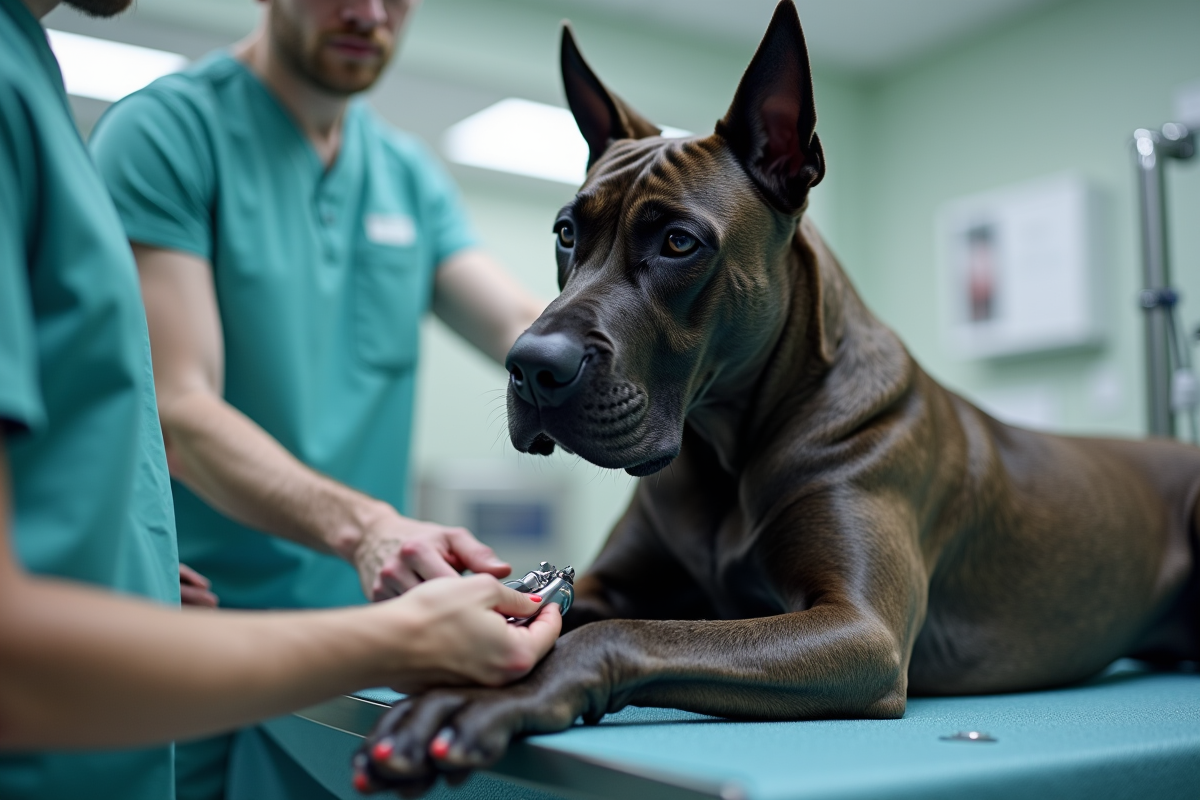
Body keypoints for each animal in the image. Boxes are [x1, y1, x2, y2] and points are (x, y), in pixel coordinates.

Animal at [355, 0, 1200, 786]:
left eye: (678, 243)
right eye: (567, 232)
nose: (531, 366)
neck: (725, 446)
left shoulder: (858, 630)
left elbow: (636, 630)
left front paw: (481, 699)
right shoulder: (606, 582)